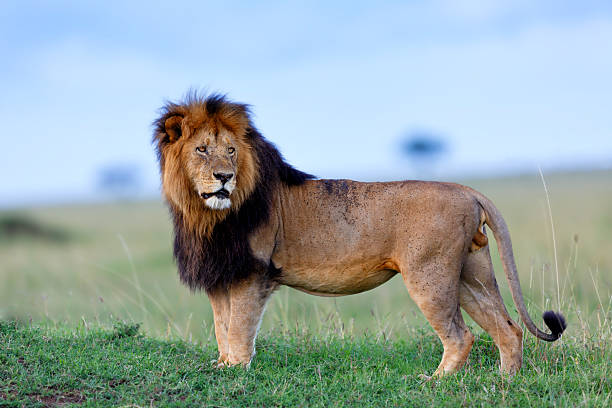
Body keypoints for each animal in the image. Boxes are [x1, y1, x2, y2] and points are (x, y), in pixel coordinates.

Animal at [153, 91, 564, 376]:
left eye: (231, 151)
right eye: (202, 149)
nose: (224, 177)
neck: (204, 216)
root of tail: (468, 190)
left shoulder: (251, 273)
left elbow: (238, 328)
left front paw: (236, 372)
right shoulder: (222, 275)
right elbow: (222, 327)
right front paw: (222, 367)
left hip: (429, 275)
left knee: (462, 336)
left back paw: (435, 382)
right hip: (469, 273)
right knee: (508, 329)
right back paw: (503, 382)